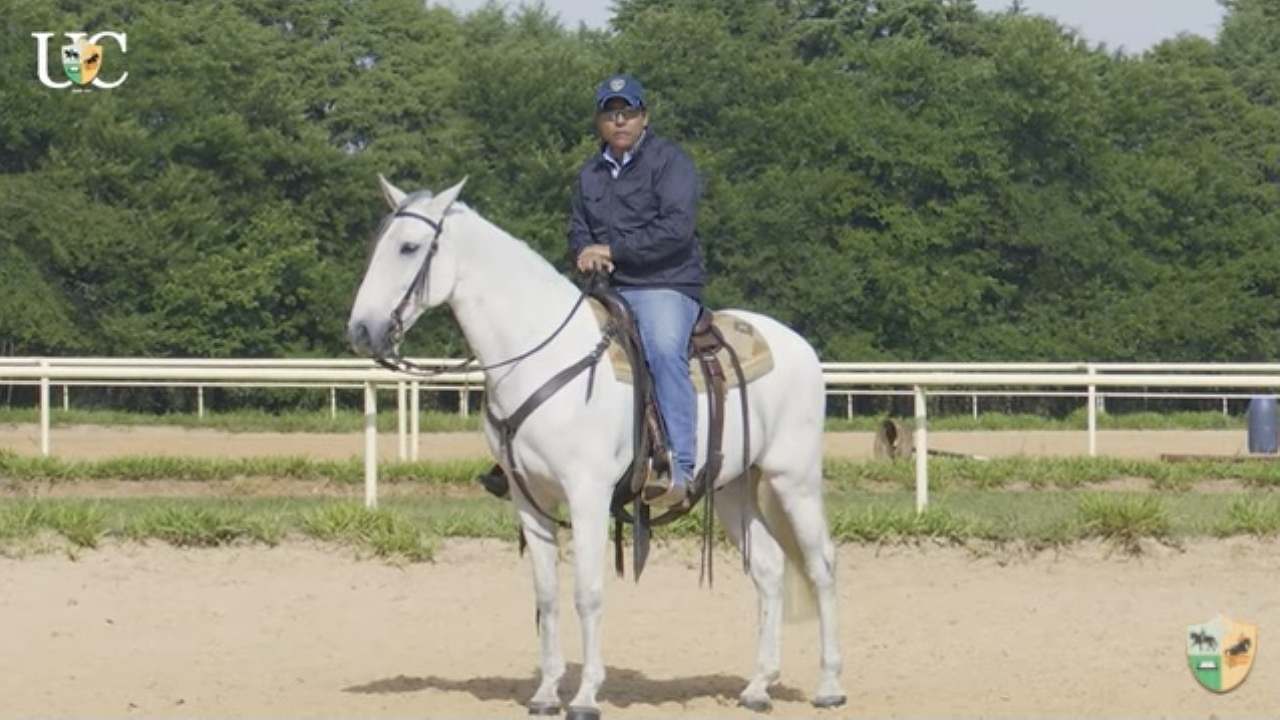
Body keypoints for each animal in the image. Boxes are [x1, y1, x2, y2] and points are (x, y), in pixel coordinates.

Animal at [350, 176, 844, 712]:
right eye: (376, 245)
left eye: (409, 247)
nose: (361, 330)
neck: (542, 356)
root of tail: (799, 345)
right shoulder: (529, 499)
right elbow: (546, 596)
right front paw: (546, 693)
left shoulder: (587, 494)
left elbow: (587, 593)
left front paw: (586, 695)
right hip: (731, 486)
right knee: (770, 569)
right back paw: (758, 686)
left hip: (794, 478)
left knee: (821, 565)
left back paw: (829, 686)